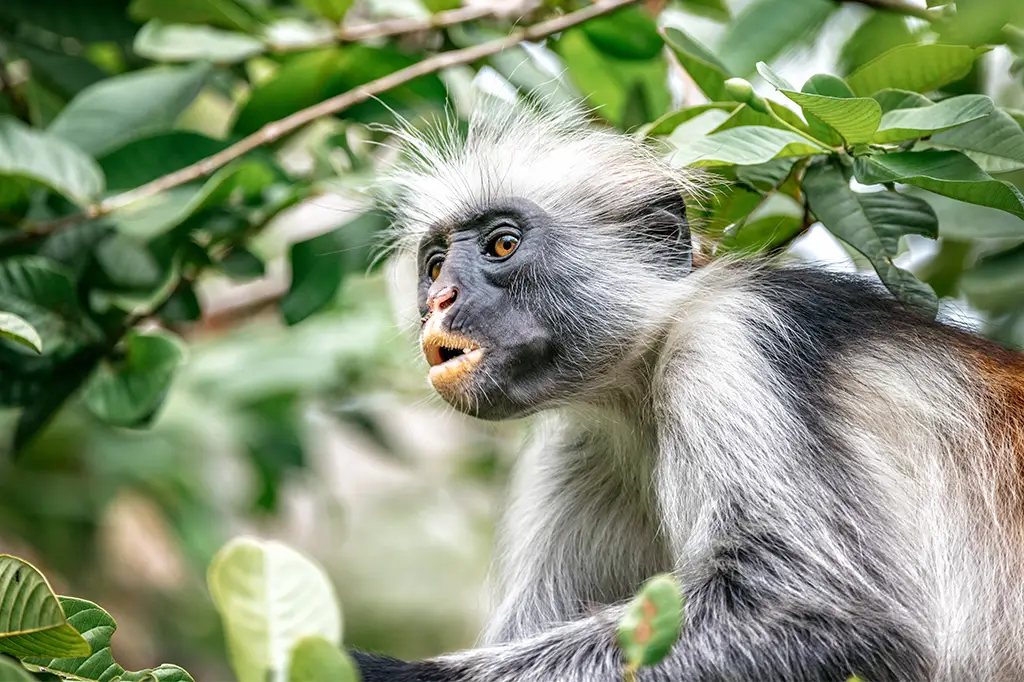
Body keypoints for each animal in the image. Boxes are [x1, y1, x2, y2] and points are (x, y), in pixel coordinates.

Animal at [350, 97, 1024, 682]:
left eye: (503, 244)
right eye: (435, 265)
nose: (440, 299)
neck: (643, 376)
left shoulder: (731, 346)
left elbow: (830, 614)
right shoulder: (584, 447)